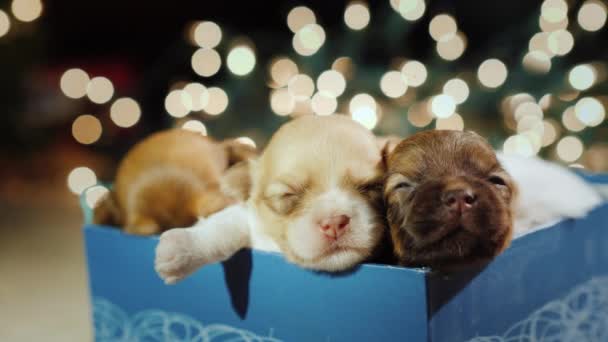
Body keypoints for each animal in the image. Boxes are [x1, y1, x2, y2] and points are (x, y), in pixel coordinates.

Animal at [154, 115, 388, 284]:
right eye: (289, 195)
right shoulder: (249, 219)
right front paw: (183, 248)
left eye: (371, 186)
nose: (334, 223)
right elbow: (224, 226)